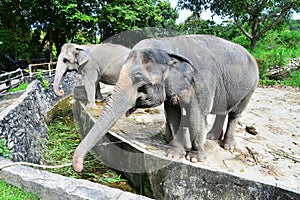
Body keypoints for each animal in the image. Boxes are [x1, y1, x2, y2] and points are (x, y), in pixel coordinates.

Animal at [72, 34, 258, 172]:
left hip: (251, 86)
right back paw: (212, 137)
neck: (169, 46)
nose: (79, 167)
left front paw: (195, 159)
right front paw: (173, 154)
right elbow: (173, 113)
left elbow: (197, 115)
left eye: (140, 81)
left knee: (235, 113)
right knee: (222, 110)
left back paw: (228, 146)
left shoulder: (203, 81)